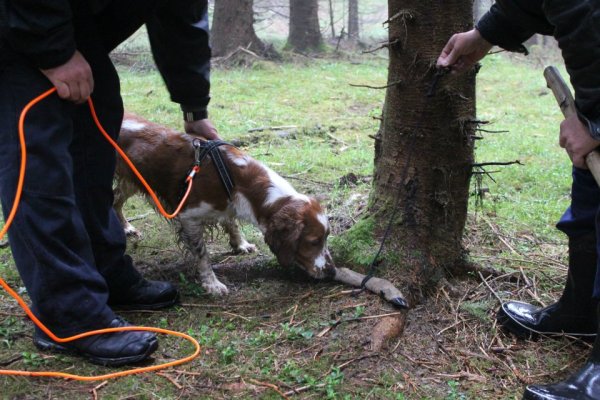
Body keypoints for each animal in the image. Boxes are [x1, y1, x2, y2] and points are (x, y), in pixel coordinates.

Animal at [113, 113, 335, 295]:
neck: (234, 178)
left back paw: (125, 227)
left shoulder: (228, 204)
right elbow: (202, 254)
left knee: (115, 200)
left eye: (325, 238)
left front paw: (241, 244)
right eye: (313, 241)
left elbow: (231, 223)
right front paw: (212, 284)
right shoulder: (188, 216)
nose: (332, 272)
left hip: (131, 181)